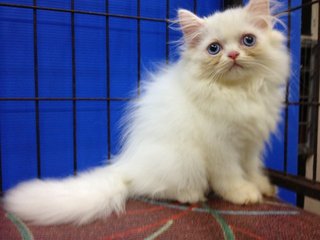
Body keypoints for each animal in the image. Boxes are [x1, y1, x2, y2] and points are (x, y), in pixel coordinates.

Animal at [3, 0, 290, 225]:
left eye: (248, 40)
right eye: (214, 48)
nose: (232, 55)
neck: (239, 93)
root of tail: (125, 166)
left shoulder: (251, 145)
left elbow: (251, 169)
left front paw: (262, 187)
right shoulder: (222, 148)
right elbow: (231, 177)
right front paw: (244, 194)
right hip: (184, 161)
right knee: (155, 189)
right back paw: (191, 194)